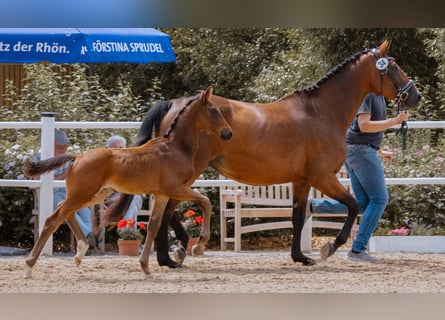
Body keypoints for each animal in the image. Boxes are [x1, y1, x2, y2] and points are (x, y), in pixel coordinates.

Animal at [23, 87, 232, 278]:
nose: (228, 133)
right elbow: (205, 201)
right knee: (53, 219)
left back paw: (80, 252)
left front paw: (145, 267)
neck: (174, 148)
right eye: (214, 111)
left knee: (63, 209)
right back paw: (29, 266)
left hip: (94, 195)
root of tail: (76, 158)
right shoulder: (176, 188)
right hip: (83, 194)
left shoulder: (162, 194)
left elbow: (153, 226)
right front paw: (198, 245)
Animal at [108, 38, 420, 272]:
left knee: (164, 210)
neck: (321, 112)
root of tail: (174, 103)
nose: (415, 96)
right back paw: (176, 253)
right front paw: (329, 248)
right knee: (167, 211)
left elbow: (298, 218)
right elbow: (354, 206)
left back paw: (170, 256)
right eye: (393, 67)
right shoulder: (323, 177)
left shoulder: (302, 181)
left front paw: (301, 257)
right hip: (187, 172)